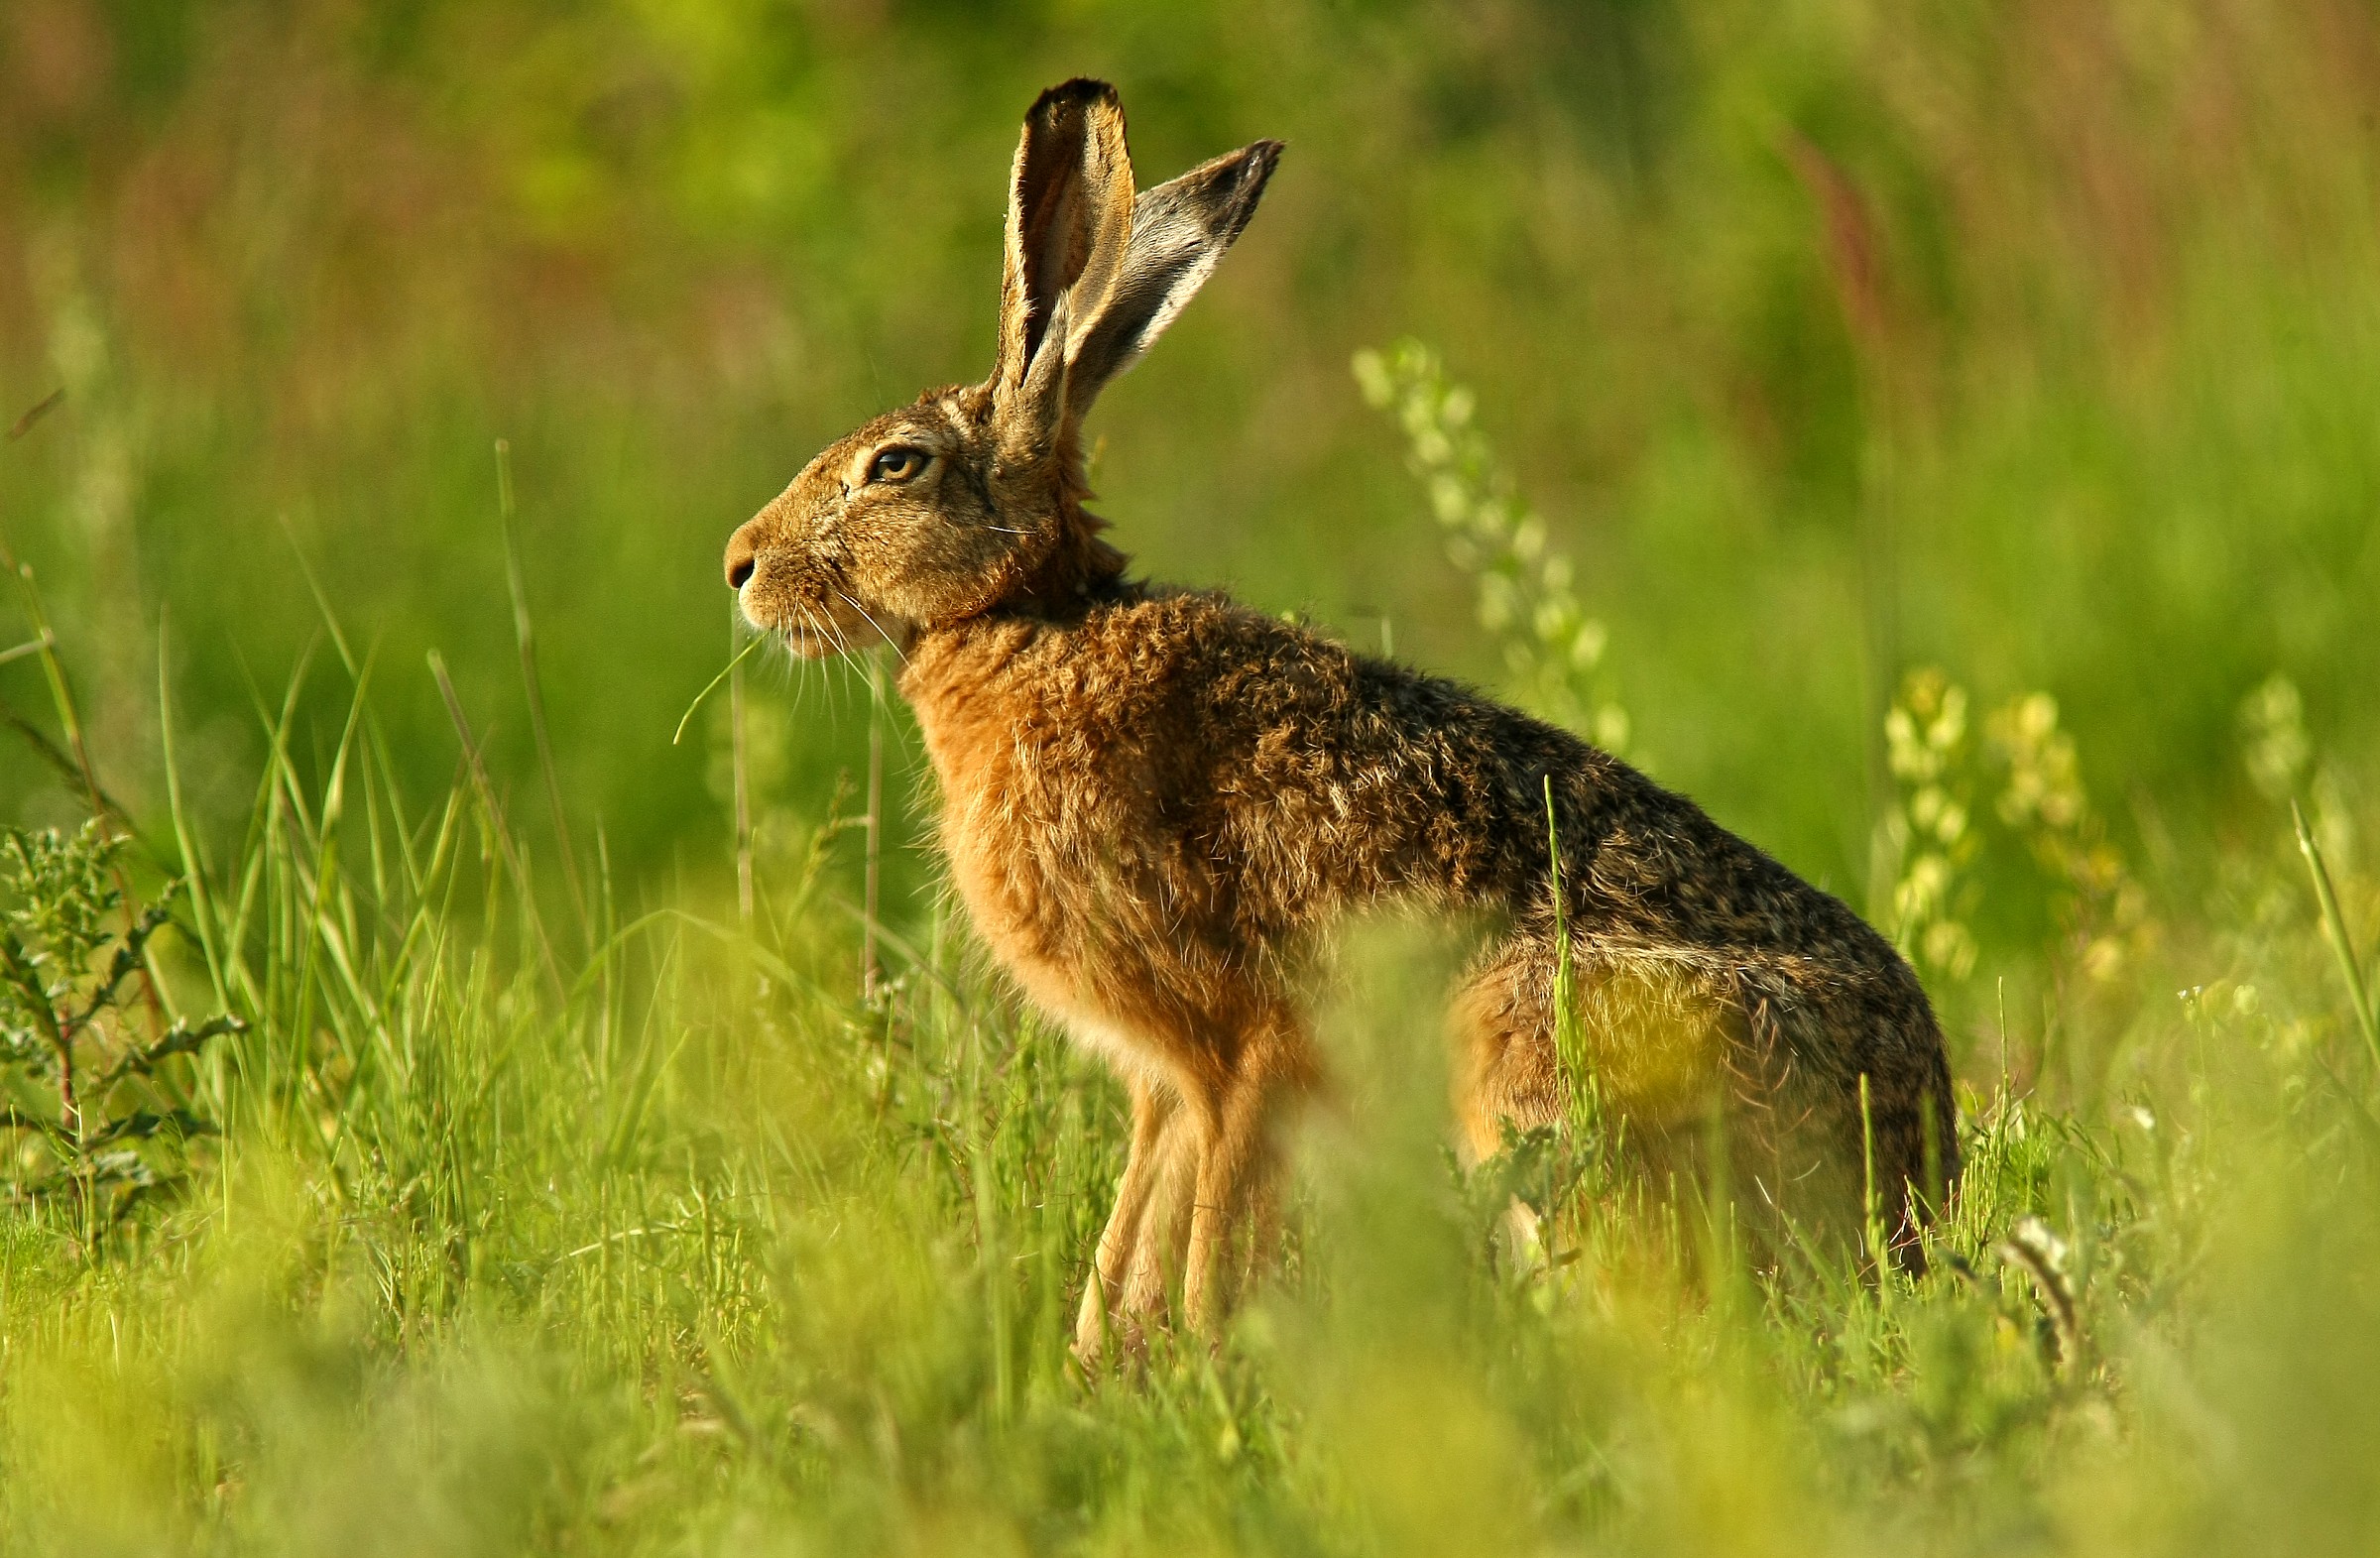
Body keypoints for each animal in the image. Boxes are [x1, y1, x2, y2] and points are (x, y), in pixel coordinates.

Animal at [722, 78, 1960, 1356]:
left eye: (895, 466)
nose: (740, 566)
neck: (1029, 619)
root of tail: (1917, 1174)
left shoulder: (1245, 1046)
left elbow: (1208, 1232)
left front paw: (1204, 1364)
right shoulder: (1168, 1080)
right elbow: (1131, 1235)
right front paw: (1108, 1366)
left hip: (1523, 1028)